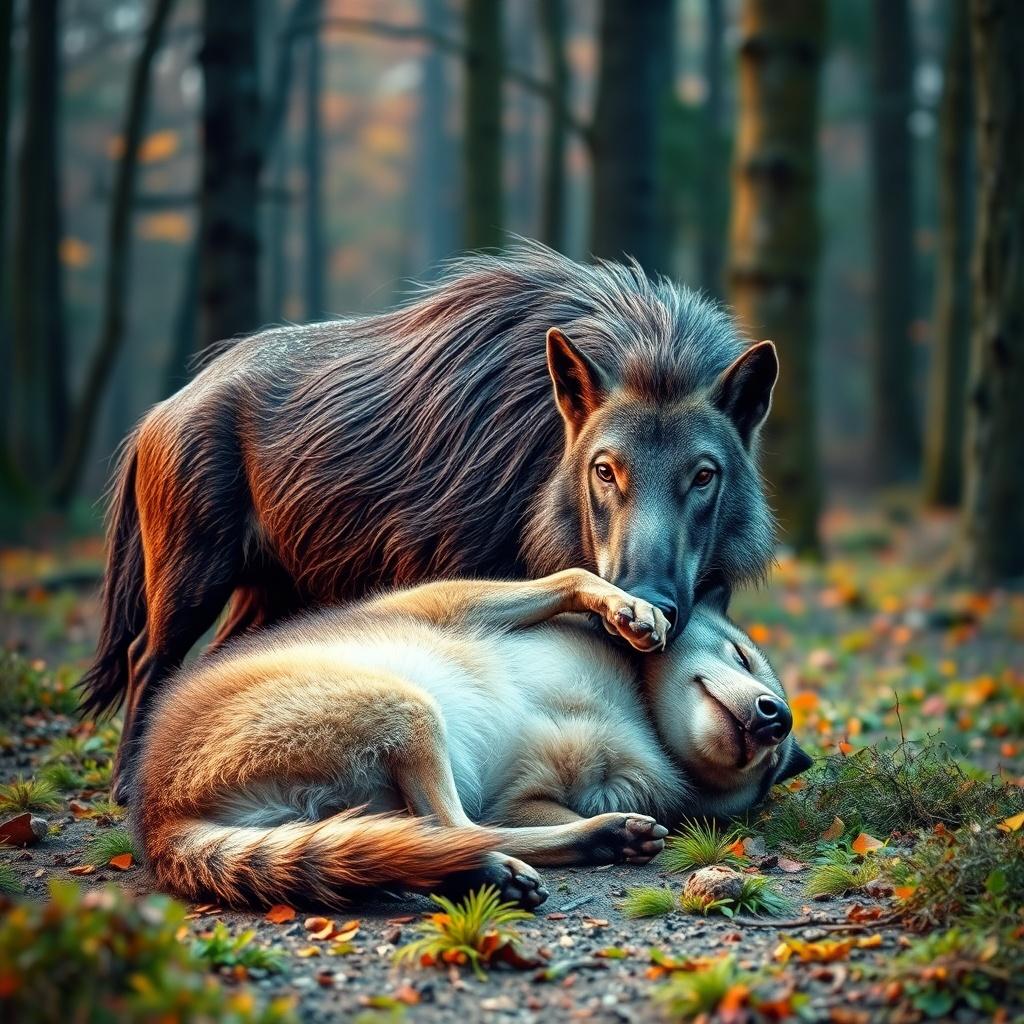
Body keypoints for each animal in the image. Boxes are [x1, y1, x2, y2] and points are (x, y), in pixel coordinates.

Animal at [135, 568, 810, 910]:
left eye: (773, 764)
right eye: (742, 655)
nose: (777, 719)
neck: (641, 710)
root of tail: (158, 813)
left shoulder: (541, 793)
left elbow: (523, 808)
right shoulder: (445, 604)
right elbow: (572, 572)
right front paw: (624, 604)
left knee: (438, 835)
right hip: (406, 706)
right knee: (451, 827)